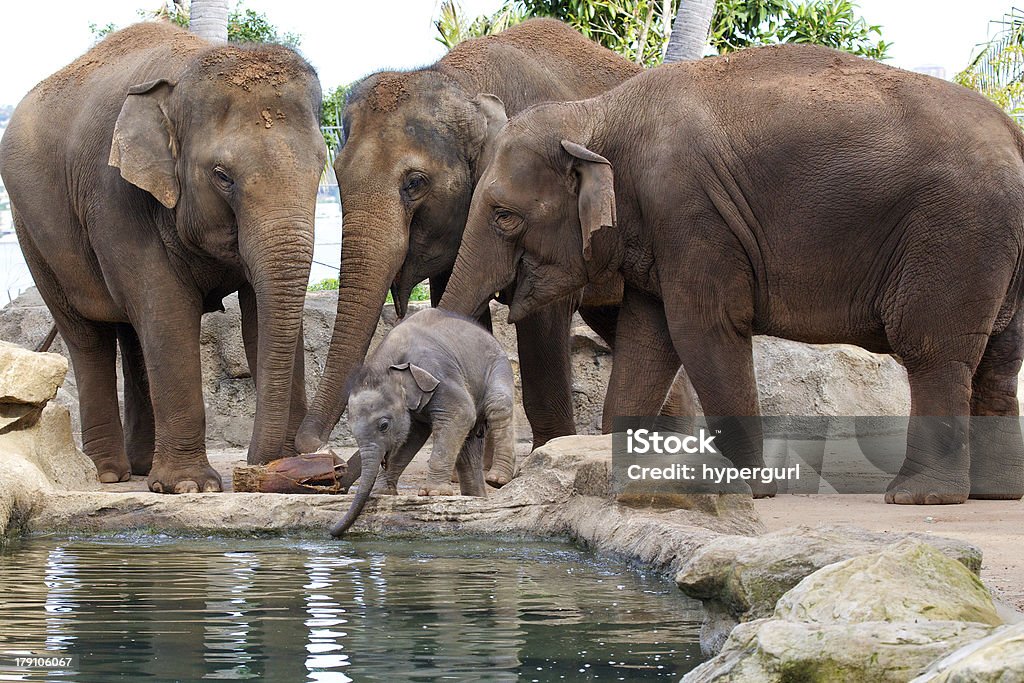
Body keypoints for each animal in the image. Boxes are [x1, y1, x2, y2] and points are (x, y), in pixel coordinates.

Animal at [0, 21, 325, 491]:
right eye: (222, 176)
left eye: (321, 167)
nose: (258, 465)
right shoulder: (115, 194)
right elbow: (166, 308)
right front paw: (192, 486)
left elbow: (258, 313)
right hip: (32, 232)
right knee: (88, 336)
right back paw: (109, 473)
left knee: (132, 333)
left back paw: (140, 466)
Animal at [299, 18, 688, 456]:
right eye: (338, 178)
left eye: (414, 183)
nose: (313, 446)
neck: (462, 83)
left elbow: (542, 327)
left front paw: (546, 451)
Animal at [331, 309, 516, 540]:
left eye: (383, 426)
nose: (333, 532)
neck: (387, 363)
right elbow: (412, 437)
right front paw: (382, 492)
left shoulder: (438, 374)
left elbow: (462, 412)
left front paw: (433, 493)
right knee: (468, 447)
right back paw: (476, 499)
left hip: (498, 365)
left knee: (497, 405)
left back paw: (497, 480)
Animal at [444, 42, 1024, 501]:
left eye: (504, 216)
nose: (487, 486)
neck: (596, 113)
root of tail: (1013, 133)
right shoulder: (663, 230)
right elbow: (647, 338)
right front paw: (614, 469)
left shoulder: (691, 212)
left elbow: (704, 329)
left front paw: (742, 487)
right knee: (999, 358)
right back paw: (994, 493)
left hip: (957, 234)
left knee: (934, 349)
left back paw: (918, 497)